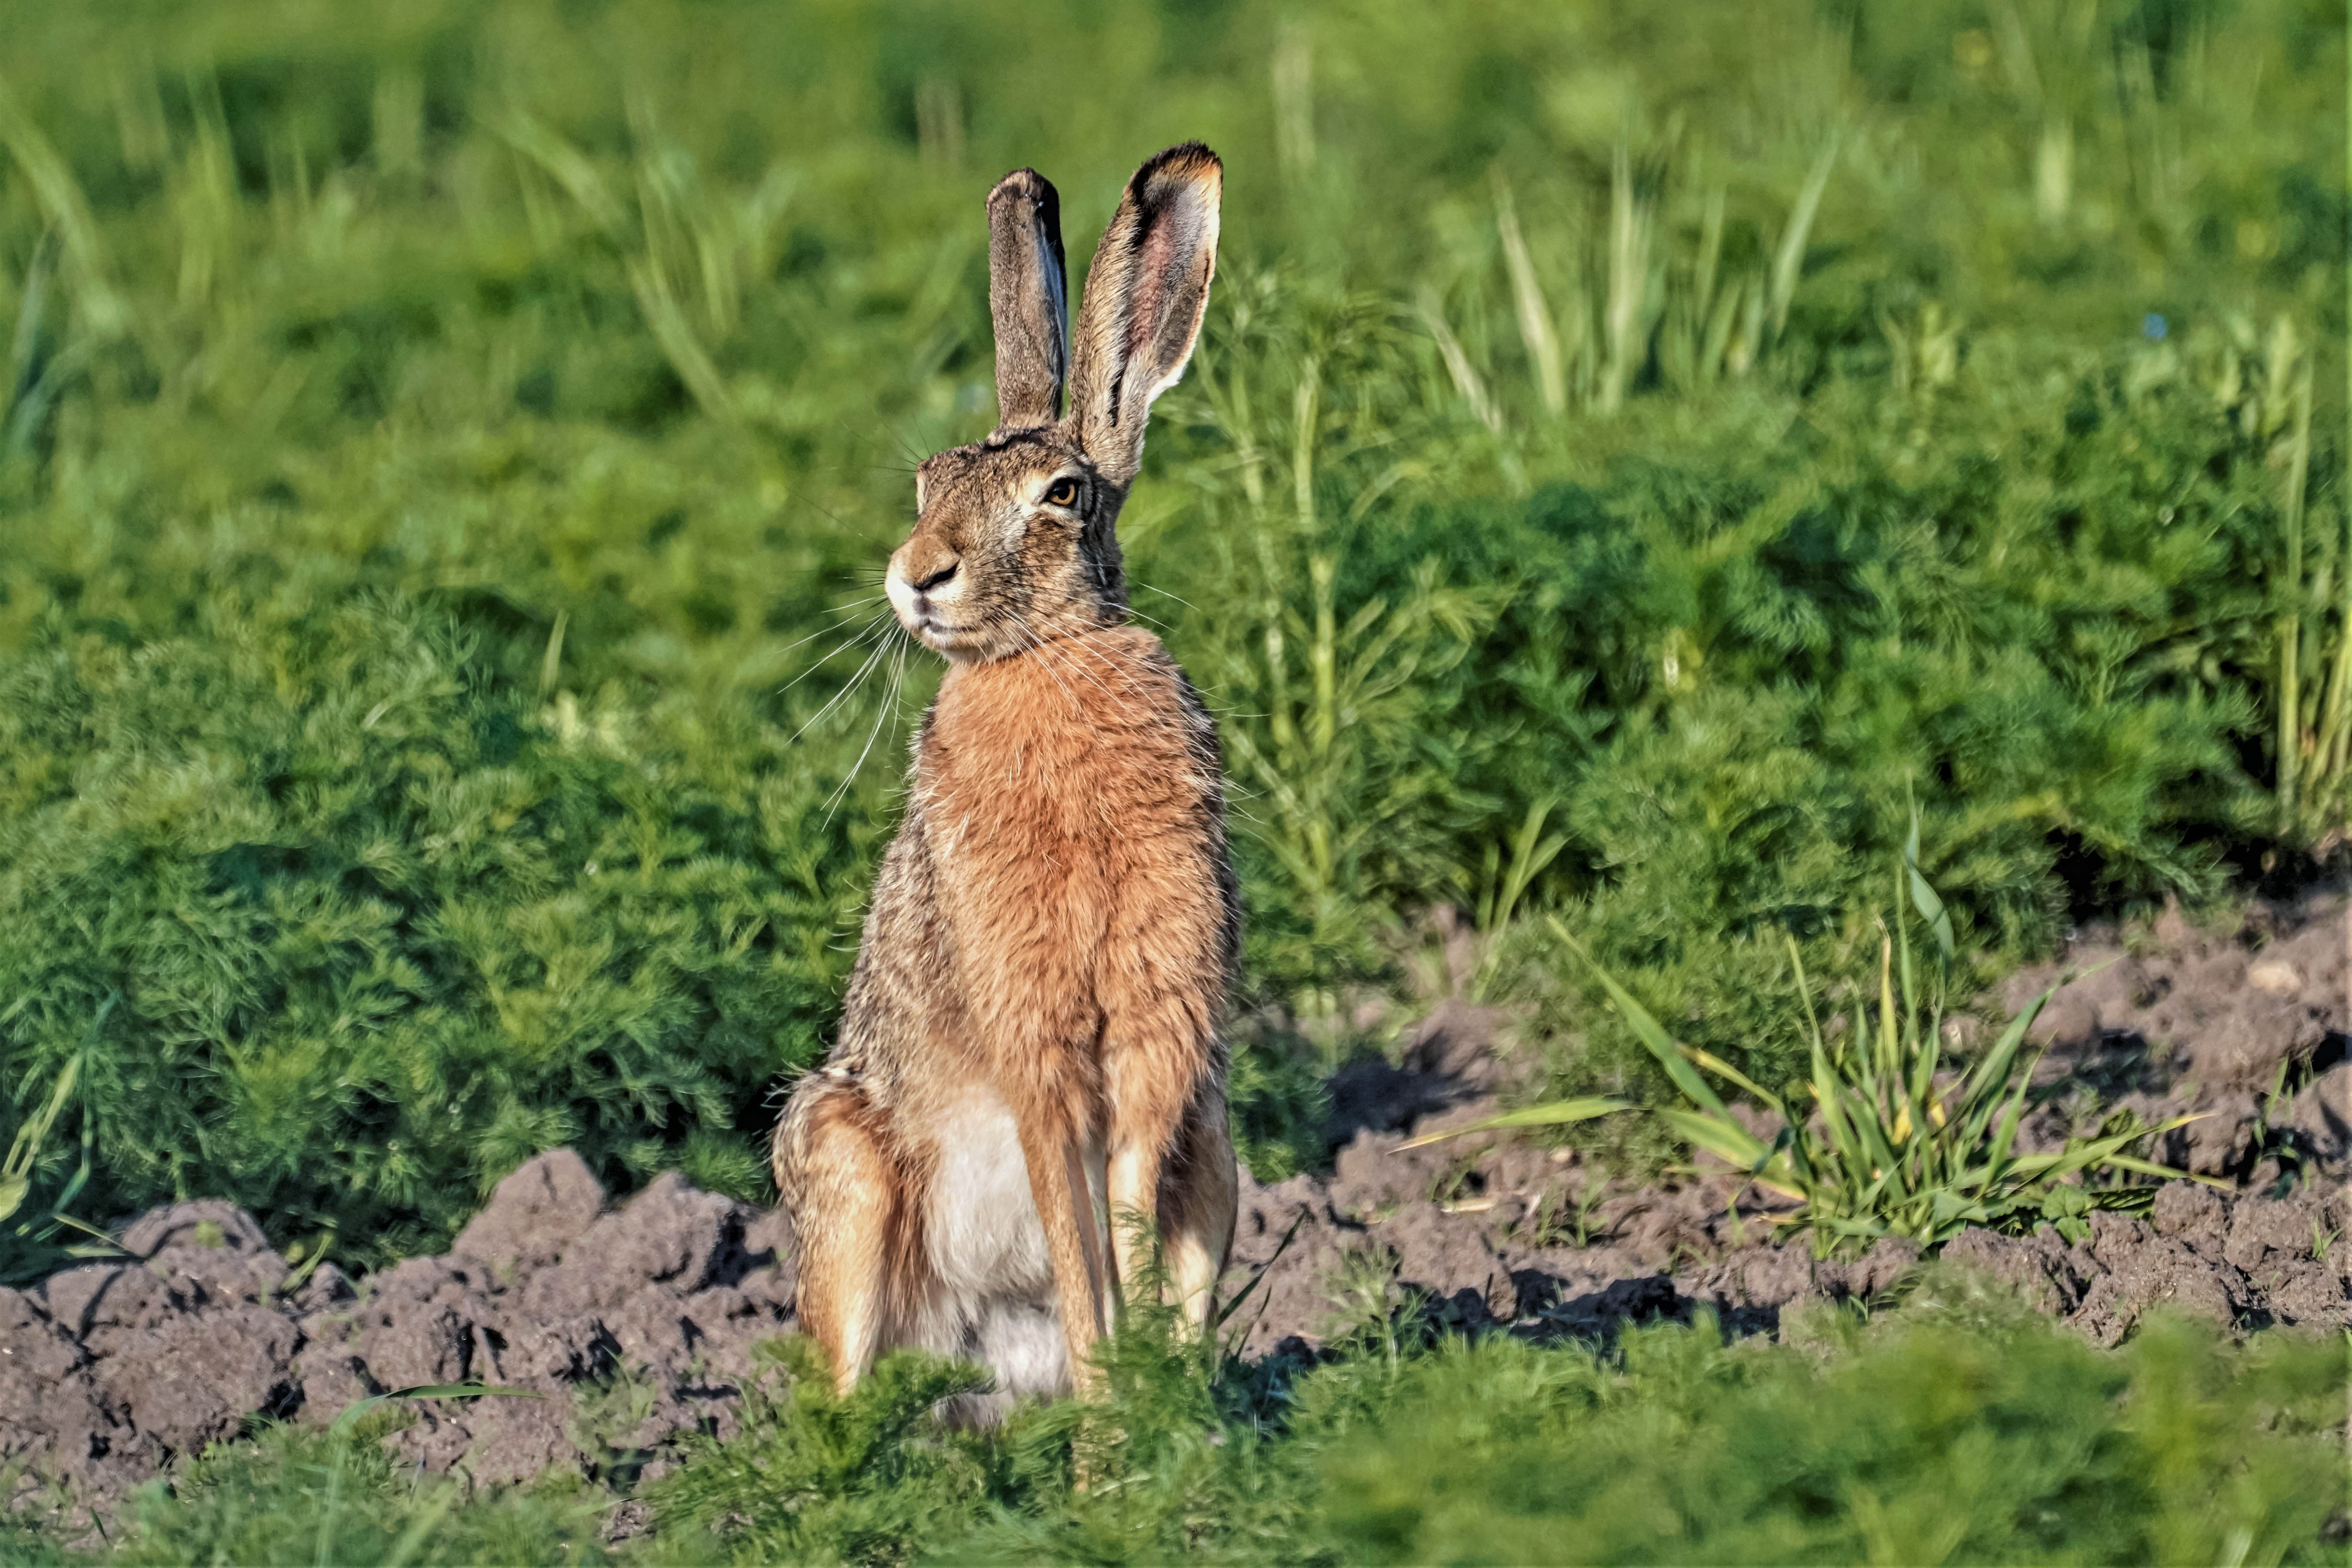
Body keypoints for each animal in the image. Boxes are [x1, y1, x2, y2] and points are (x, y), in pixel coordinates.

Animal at [772, 143, 1238, 1417]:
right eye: (927, 481)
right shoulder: (1034, 1041)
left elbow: (1116, 1234)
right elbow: (1083, 1253)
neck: (1040, 660)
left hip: (1220, 1148)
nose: (916, 573)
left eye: (1061, 496)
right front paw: (1112, 1413)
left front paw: (1127, 1406)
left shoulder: (1152, 1039)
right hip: (842, 1168)